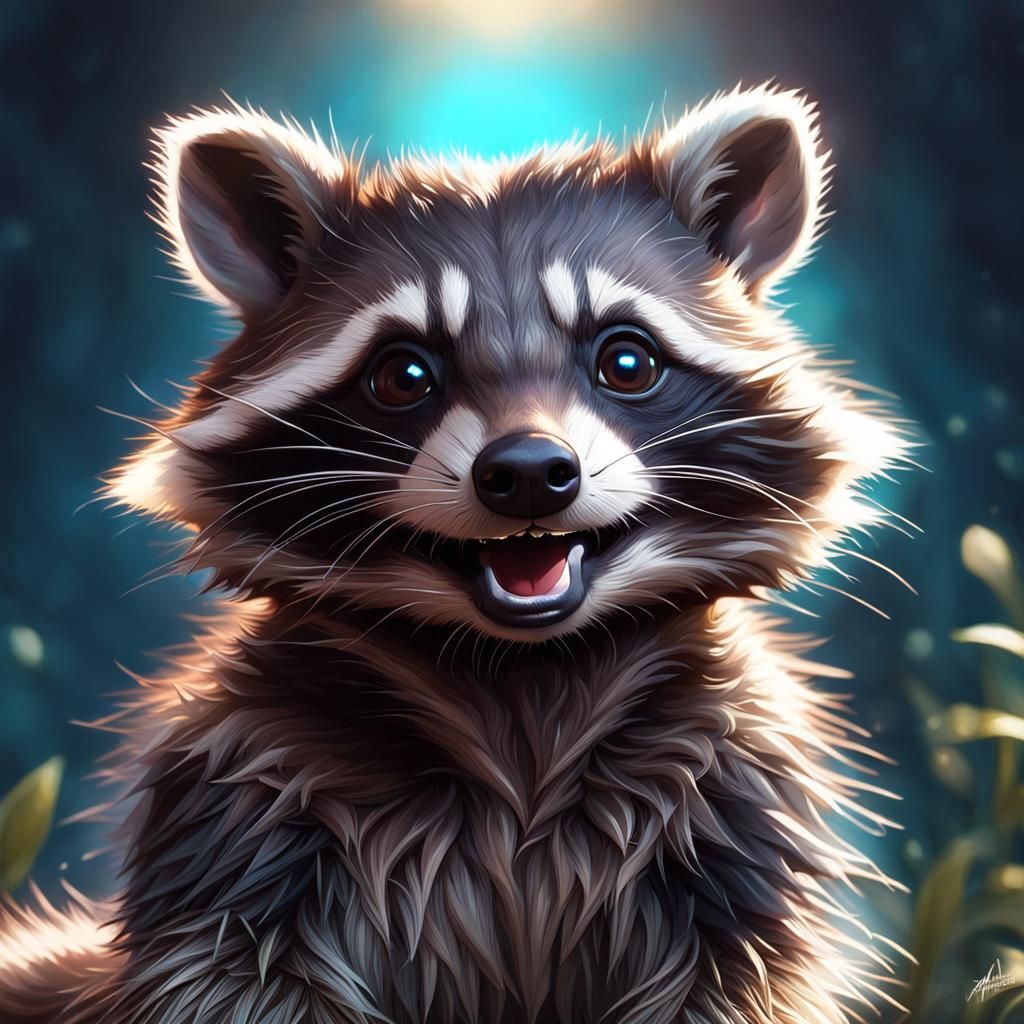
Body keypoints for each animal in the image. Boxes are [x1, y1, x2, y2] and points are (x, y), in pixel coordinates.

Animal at [0, 85, 913, 1024]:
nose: (529, 473)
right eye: (403, 374)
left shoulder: (731, 802)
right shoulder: (245, 798)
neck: (523, 671)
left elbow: (735, 976)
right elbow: (233, 978)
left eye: (626, 360)